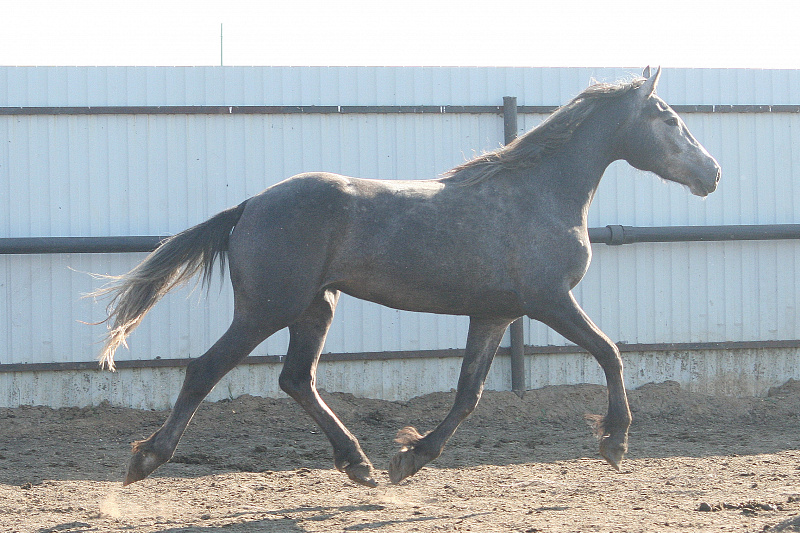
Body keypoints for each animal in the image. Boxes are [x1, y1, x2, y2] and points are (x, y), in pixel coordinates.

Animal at [94, 67, 720, 487]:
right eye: (669, 118)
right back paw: (145, 459)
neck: (539, 194)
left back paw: (360, 465)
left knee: (297, 379)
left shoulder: (494, 314)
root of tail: (249, 206)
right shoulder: (549, 301)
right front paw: (615, 442)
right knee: (206, 369)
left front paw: (410, 457)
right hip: (268, 309)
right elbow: (610, 353)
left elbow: (468, 394)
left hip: (315, 307)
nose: (712, 173)